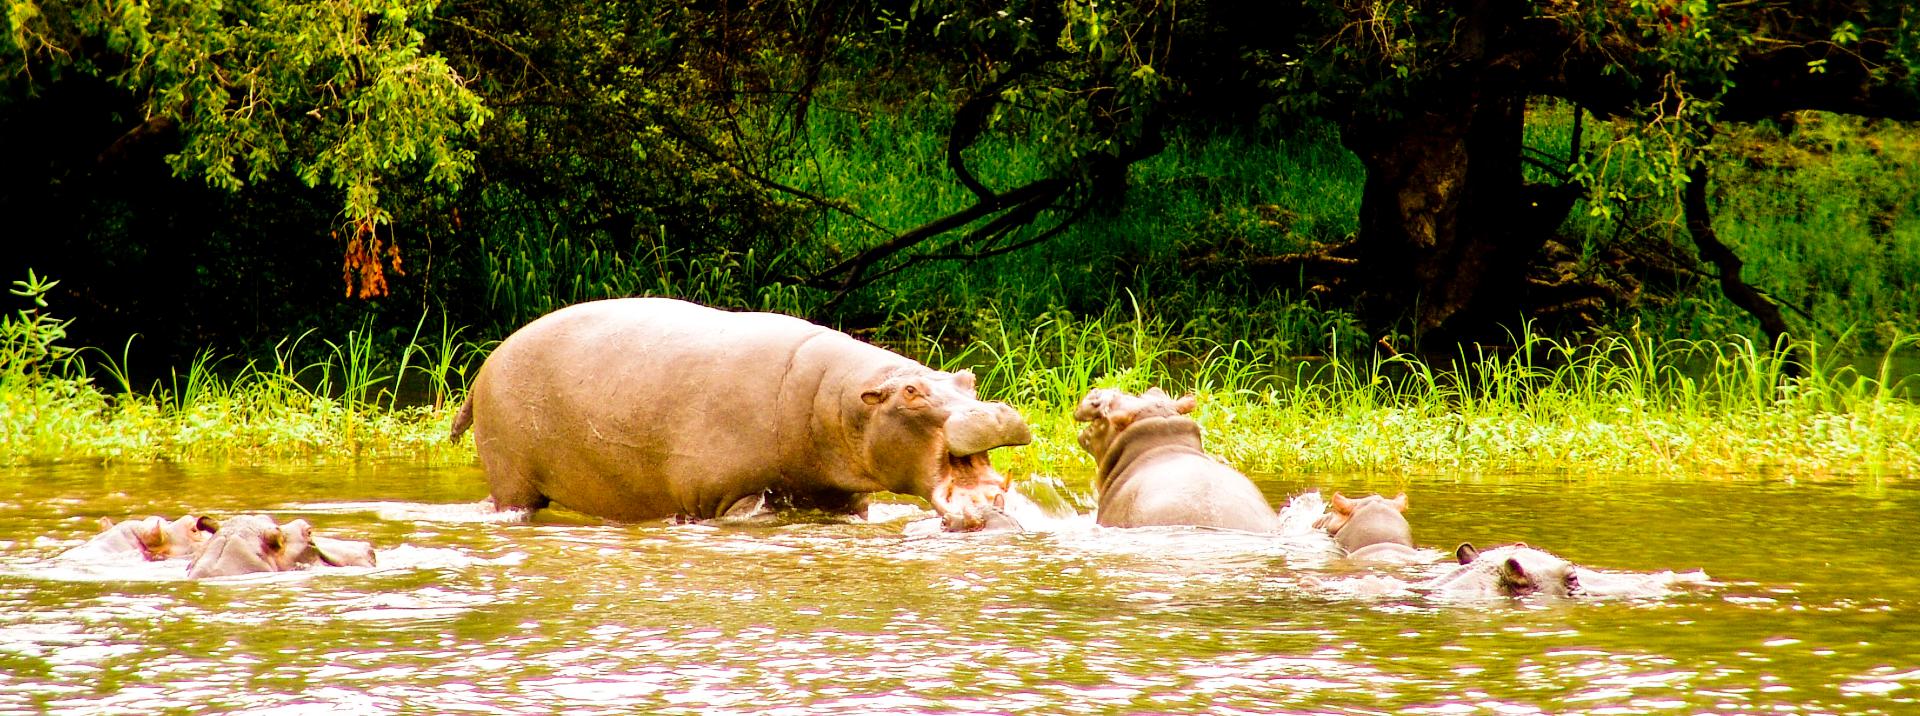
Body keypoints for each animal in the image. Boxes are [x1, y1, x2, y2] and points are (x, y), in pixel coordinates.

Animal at [451, 295, 1036, 529]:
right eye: (912, 391)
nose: (994, 412)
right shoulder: (722, 496)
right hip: (514, 477)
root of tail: (487, 364)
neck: (841, 404)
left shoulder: (840, 499)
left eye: (967, 379)